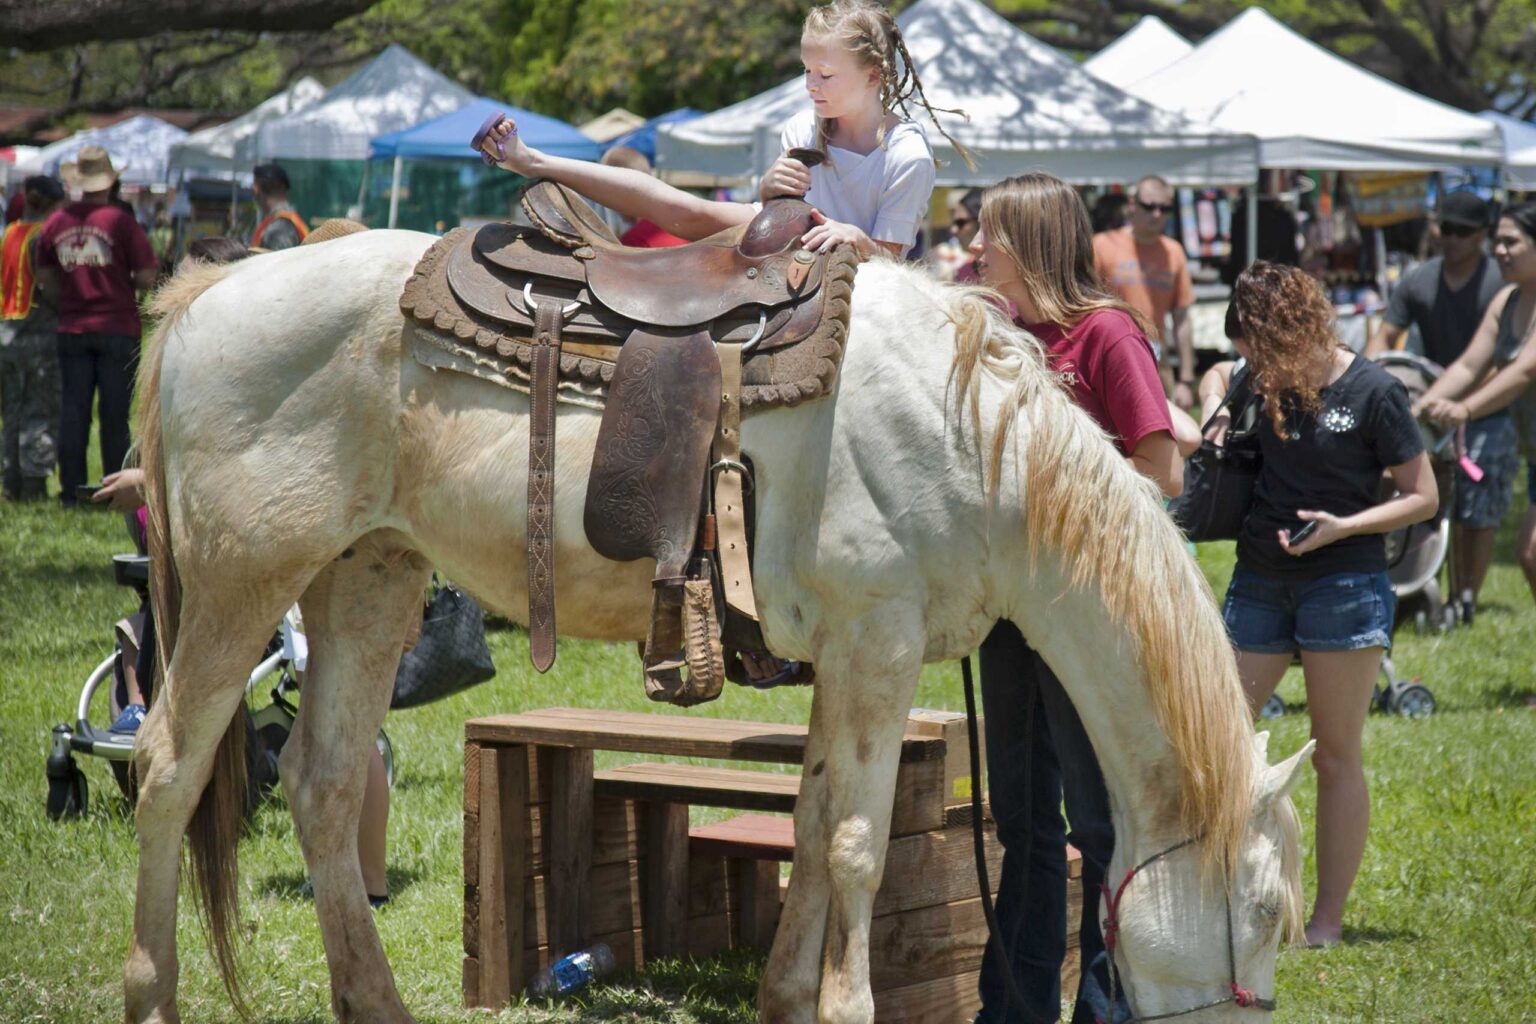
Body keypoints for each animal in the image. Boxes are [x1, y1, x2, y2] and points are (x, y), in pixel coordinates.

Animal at [125, 228, 1312, 1024]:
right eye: (1261, 910)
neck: (976, 439)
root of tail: (213, 288)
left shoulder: (848, 657)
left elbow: (814, 822)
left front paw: (787, 997)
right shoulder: (878, 647)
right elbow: (858, 847)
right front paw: (845, 1004)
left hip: (368, 576)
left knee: (323, 784)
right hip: (242, 585)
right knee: (169, 769)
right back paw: (152, 988)